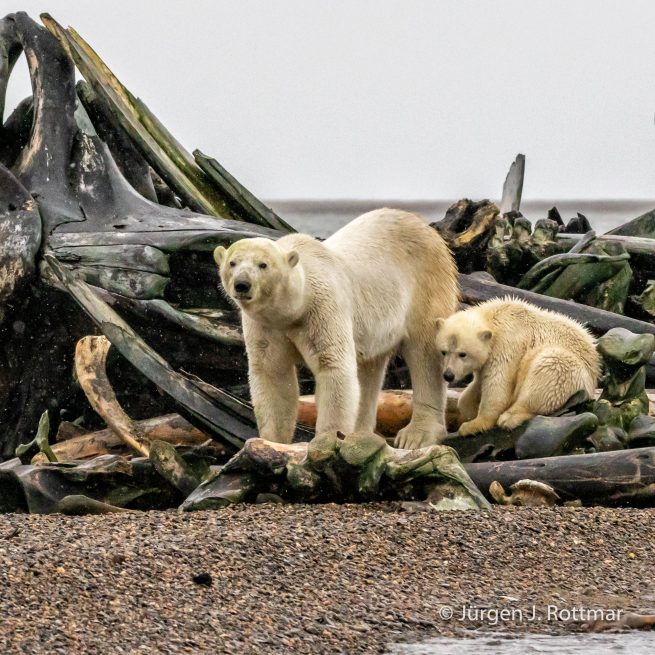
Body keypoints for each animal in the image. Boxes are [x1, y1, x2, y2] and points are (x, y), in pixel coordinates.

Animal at [214, 208, 458, 449]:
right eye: (232, 263)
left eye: (263, 264)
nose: (242, 284)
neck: (293, 308)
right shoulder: (266, 325)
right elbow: (271, 372)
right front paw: (270, 440)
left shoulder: (322, 308)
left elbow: (333, 367)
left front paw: (329, 439)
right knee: (368, 370)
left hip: (426, 283)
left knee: (425, 354)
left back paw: (417, 435)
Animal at [435, 297, 601, 435]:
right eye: (443, 352)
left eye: (462, 354)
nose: (448, 375)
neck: (494, 317)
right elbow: (477, 385)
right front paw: (469, 411)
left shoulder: (507, 344)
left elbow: (497, 386)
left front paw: (473, 425)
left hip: (566, 368)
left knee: (548, 371)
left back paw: (509, 418)